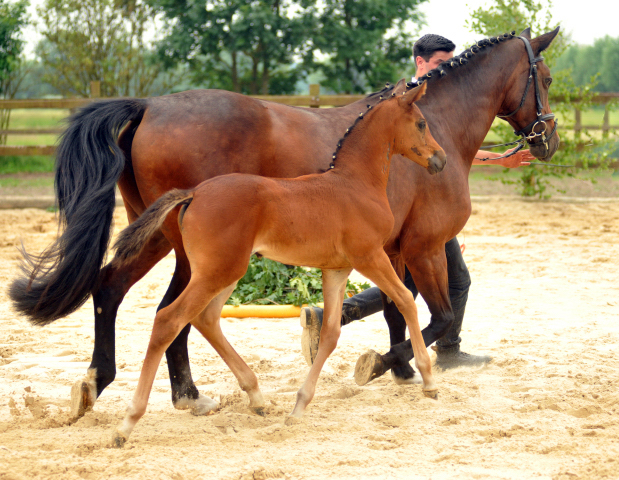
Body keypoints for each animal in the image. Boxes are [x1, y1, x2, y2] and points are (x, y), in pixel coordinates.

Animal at [108, 81, 446, 446]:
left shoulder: (336, 269)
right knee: (169, 320)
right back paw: (126, 424)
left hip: (225, 271)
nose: (440, 159)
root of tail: (194, 193)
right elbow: (406, 301)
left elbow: (330, 333)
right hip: (218, 271)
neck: (354, 183)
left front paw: (298, 408)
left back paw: (256, 397)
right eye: (422, 123)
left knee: (205, 318)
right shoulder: (370, 256)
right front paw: (429, 382)